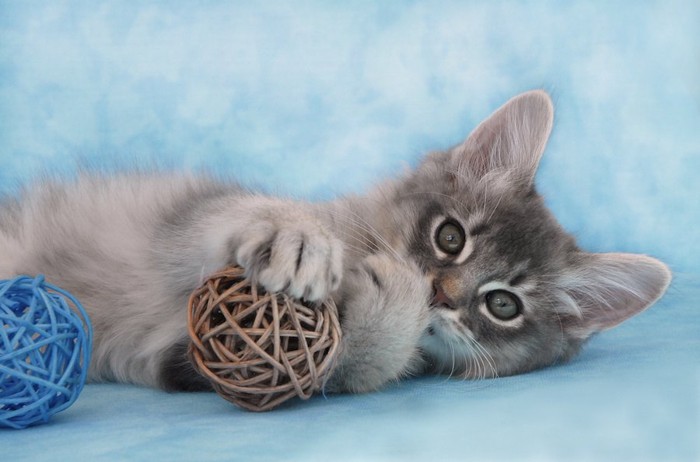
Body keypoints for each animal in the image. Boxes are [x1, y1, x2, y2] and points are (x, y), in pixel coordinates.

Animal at [0, 91, 668, 394]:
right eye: (450, 237)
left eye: (502, 304)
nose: (440, 292)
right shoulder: (188, 222)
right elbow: (247, 212)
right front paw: (298, 237)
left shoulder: (183, 359)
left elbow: (356, 362)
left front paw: (392, 307)